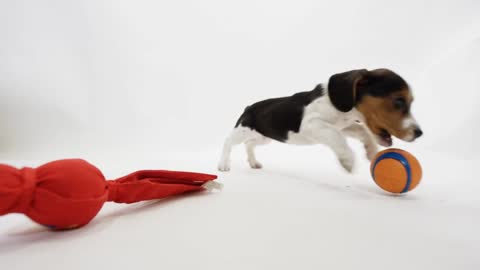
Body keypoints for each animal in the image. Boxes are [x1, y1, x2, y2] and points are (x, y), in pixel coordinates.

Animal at [218, 68, 424, 172]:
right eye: (399, 100)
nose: (419, 133)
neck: (344, 111)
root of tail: (249, 107)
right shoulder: (313, 124)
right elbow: (337, 138)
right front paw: (348, 160)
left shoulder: (344, 126)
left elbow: (362, 131)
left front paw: (371, 151)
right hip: (242, 130)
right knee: (227, 141)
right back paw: (223, 165)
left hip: (263, 137)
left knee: (249, 145)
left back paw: (253, 162)